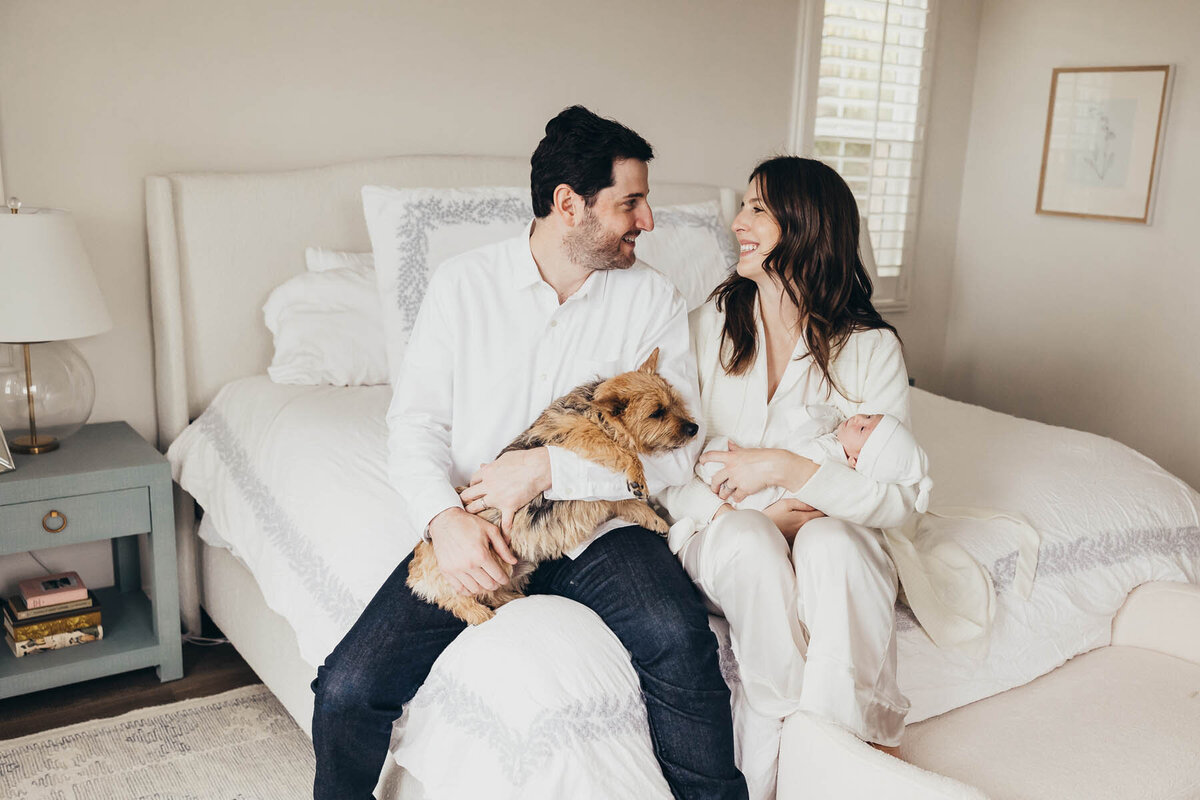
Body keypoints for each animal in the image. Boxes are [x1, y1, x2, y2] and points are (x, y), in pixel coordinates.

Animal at [408, 347, 700, 623]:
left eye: (676, 402)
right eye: (657, 413)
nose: (695, 428)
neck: (596, 414)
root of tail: (418, 571)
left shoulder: (603, 498)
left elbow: (627, 502)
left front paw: (654, 519)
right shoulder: (583, 437)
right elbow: (621, 452)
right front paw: (637, 473)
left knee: (493, 593)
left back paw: (513, 598)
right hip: (486, 565)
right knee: (455, 598)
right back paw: (479, 614)